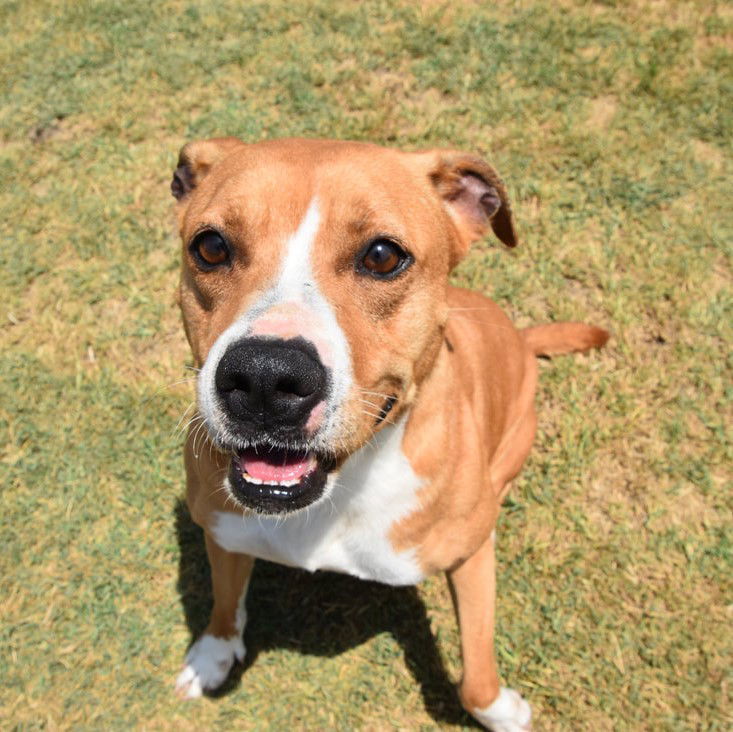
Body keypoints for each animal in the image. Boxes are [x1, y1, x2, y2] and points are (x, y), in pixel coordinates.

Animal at [170, 136, 608, 728]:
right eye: (211, 246)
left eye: (382, 256)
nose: (264, 378)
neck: (340, 491)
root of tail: (521, 337)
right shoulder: (221, 529)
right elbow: (222, 603)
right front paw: (212, 656)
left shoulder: (470, 558)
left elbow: (476, 676)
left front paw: (502, 712)